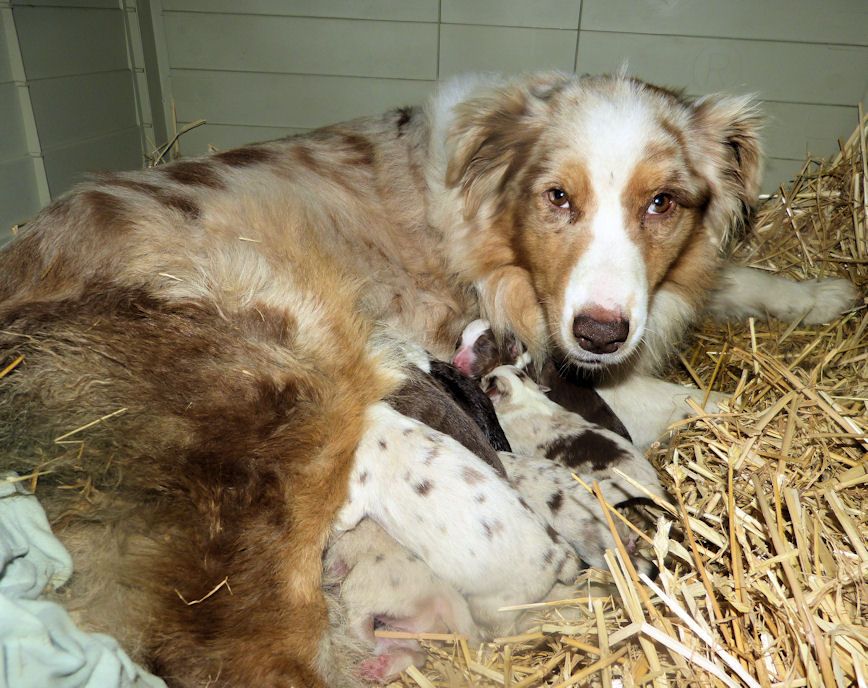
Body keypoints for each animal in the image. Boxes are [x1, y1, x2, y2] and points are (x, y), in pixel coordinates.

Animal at [0, 70, 856, 684]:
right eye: (557, 197)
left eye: (663, 203)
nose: (600, 332)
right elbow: (698, 399)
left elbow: (738, 279)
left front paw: (824, 295)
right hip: (292, 394)